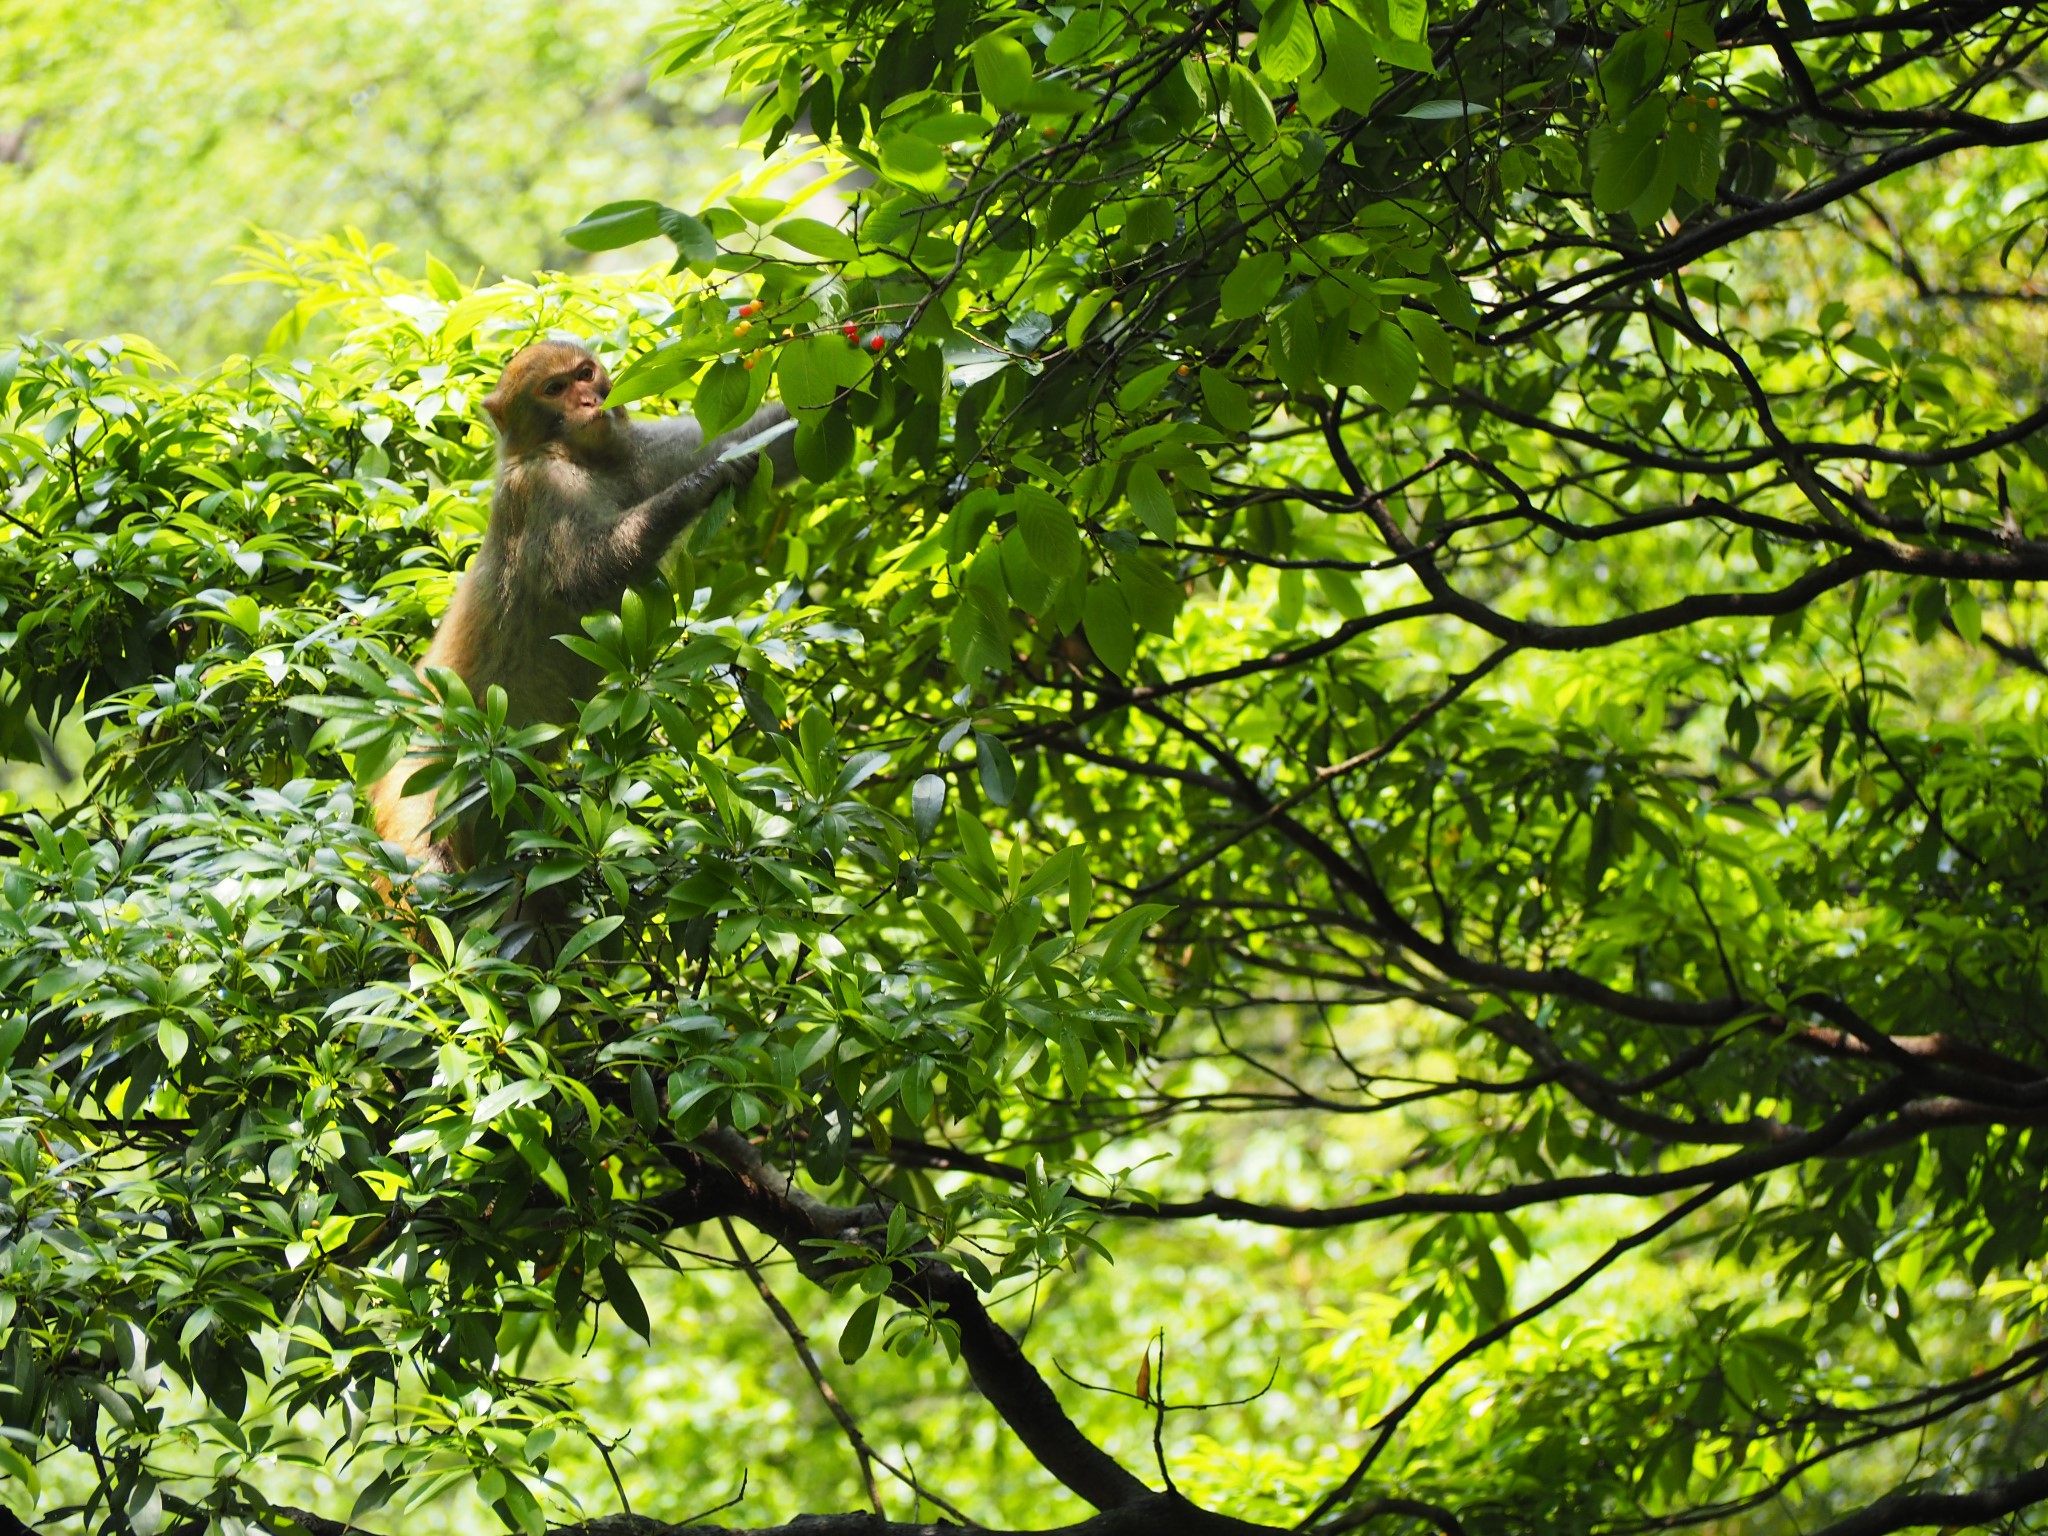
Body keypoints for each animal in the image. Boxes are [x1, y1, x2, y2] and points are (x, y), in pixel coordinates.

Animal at [368, 342, 790, 872]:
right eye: (555, 389)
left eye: (585, 374)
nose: (589, 402)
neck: (588, 461)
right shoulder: (539, 488)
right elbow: (580, 577)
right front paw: (697, 485)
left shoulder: (644, 451)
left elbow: (772, 440)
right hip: (417, 779)